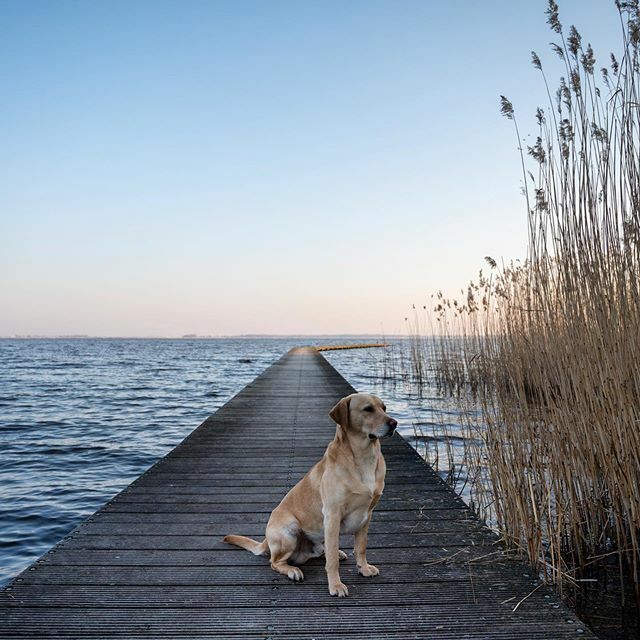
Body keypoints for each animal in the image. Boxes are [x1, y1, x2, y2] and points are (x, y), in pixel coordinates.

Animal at [224, 392, 396, 596]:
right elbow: (332, 562)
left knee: (324, 550)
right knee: (275, 562)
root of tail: (266, 540)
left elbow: (360, 547)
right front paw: (336, 585)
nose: (394, 423)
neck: (364, 456)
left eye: (384, 408)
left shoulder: (367, 515)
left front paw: (364, 568)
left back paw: (336, 552)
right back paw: (293, 570)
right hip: (290, 530)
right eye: (368, 409)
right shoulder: (332, 514)